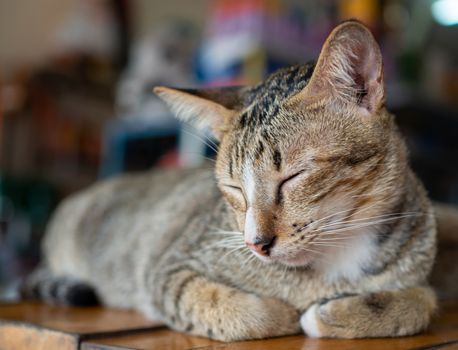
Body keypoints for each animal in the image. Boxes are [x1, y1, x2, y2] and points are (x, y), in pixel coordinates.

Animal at [24, 20, 436, 340]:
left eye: (293, 177)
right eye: (234, 188)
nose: (256, 244)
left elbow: (423, 303)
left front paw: (344, 312)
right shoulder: (168, 270)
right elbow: (236, 311)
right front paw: (287, 313)